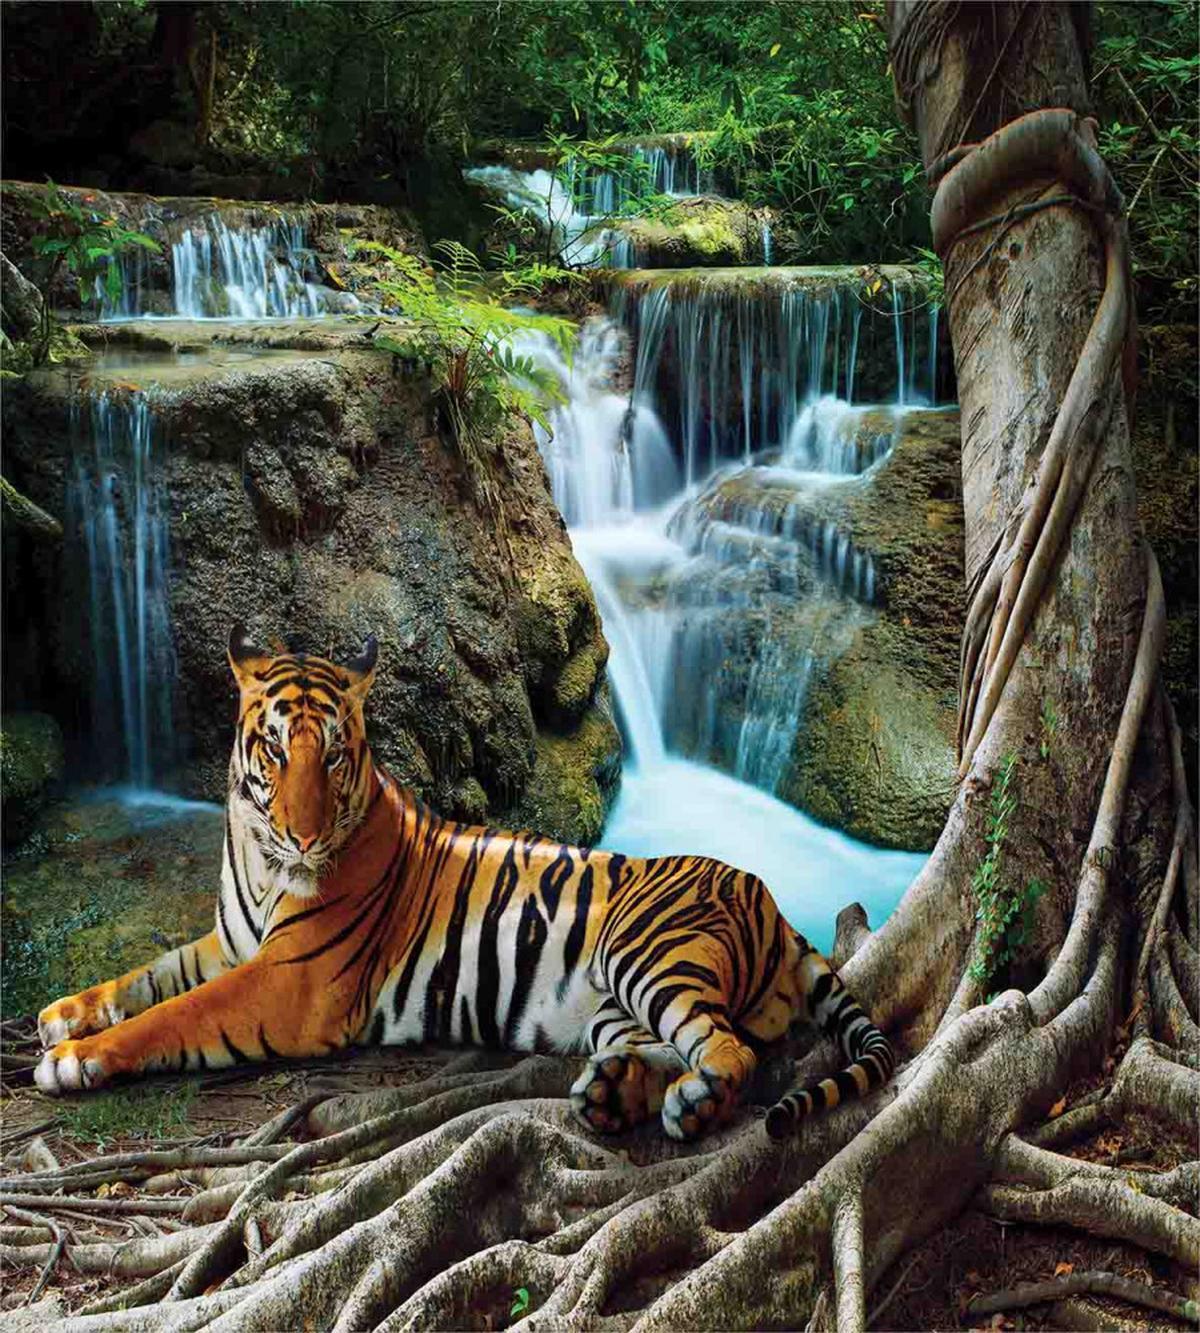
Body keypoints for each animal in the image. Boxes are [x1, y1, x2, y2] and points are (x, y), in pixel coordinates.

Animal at [34, 626, 895, 1141]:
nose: (304, 834)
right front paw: (62, 1013)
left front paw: (76, 1057)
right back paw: (615, 1093)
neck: (258, 854)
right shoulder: (231, 942)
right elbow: (149, 975)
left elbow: (175, 1013)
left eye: (333, 755)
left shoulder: (288, 982)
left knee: (730, 1050)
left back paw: (692, 1102)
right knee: (673, 1044)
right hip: (612, 1006)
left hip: (647, 954)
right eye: (275, 750)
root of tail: (772, 902)